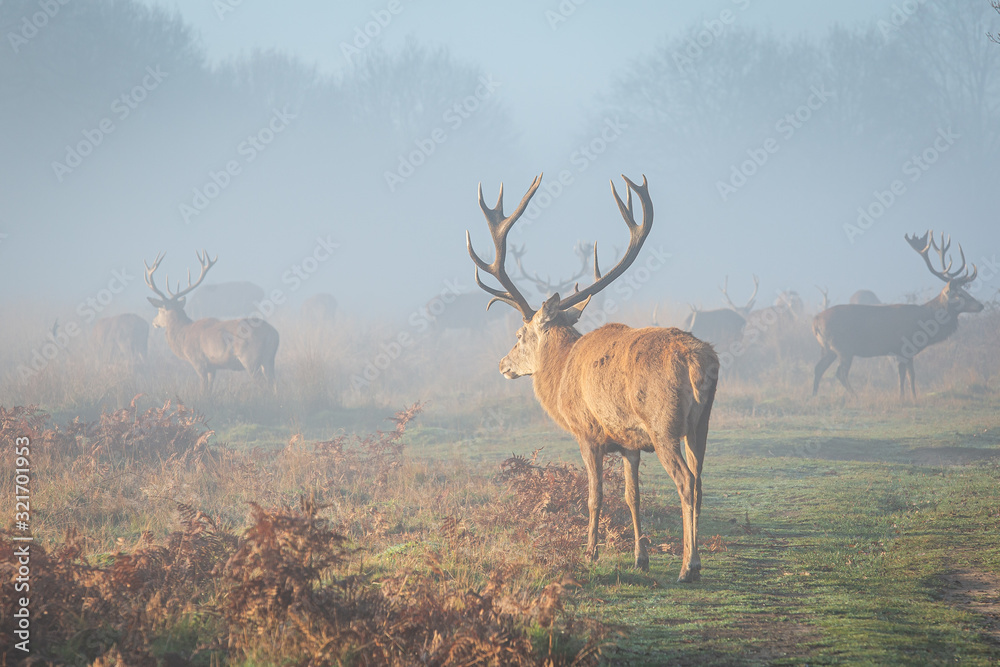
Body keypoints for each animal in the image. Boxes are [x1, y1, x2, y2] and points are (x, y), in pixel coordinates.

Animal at [144, 251, 279, 393]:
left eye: (160, 310)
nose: (154, 322)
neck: (183, 335)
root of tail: (274, 334)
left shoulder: (199, 361)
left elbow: (203, 388)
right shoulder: (212, 367)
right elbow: (209, 389)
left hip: (250, 359)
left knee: (264, 384)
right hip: (269, 360)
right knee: (274, 383)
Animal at [467, 174, 719, 583]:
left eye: (520, 335)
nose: (503, 365)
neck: (561, 372)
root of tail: (699, 360)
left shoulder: (588, 431)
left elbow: (595, 495)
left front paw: (590, 552)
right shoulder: (630, 441)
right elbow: (632, 495)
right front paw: (640, 557)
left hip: (664, 424)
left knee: (685, 482)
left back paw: (689, 566)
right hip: (702, 422)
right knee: (700, 481)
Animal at [813, 231, 983, 399]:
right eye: (958, 294)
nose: (981, 305)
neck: (924, 322)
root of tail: (815, 321)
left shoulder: (909, 352)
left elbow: (911, 375)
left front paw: (914, 397)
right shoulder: (903, 347)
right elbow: (902, 375)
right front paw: (902, 397)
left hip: (829, 349)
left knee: (818, 368)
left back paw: (814, 396)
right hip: (844, 348)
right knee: (840, 373)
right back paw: (856, 396)